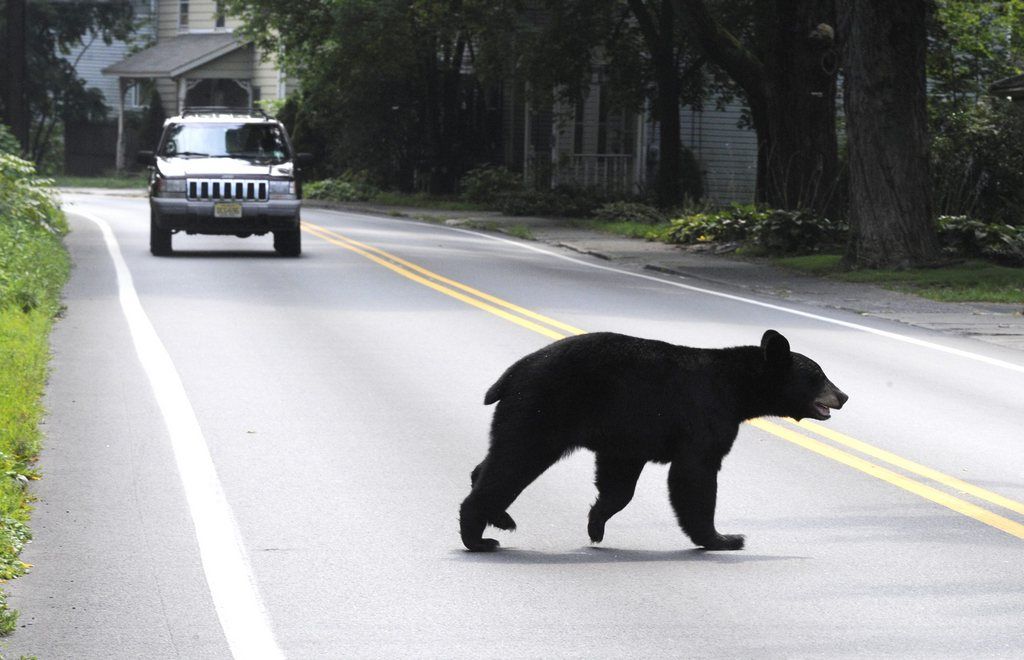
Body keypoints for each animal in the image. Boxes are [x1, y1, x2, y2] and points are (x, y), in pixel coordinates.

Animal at [460, 329, 843, 552]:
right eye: (819, 375)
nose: (844, 395)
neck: (737, 388)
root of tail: (511, 375)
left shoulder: (628, 435)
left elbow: (619, 481)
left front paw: (596, 524)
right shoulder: (704, 416)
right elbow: (694, 475)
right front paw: (723, 538)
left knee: (497, 459)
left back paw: (498, 516)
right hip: (543, 410)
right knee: (514, 462)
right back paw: (480, 536)